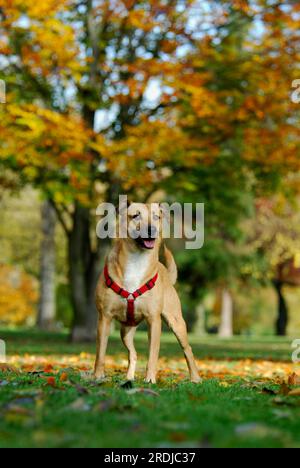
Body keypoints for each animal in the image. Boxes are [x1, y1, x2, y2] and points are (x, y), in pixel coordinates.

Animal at [95, 202, 200, 384]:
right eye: (136, 215)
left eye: (156, 217)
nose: (152, 229)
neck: (137, 260)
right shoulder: (105, 318)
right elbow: (100, 352)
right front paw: (97, 376)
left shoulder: (154, 321)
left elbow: (152, 355)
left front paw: (150, 379)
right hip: (125, 332)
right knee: (133, 354)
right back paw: (129, 378)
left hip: (177, 322)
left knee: (188, 349)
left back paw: (195, 378)